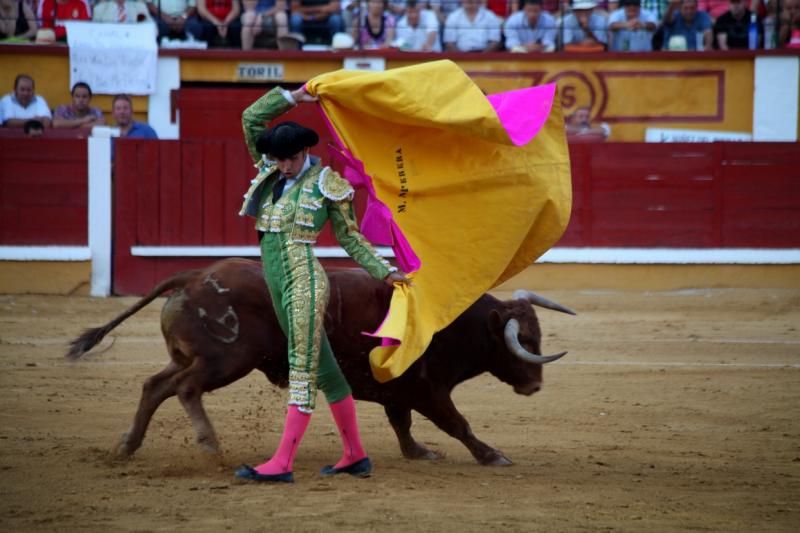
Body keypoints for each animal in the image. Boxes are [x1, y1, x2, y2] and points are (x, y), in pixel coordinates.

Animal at [65, 260, 572, 464]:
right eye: (525, 339)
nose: (535, 386)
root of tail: (195, 275)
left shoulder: (400, 391)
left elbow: (402, 424)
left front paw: (418, 452)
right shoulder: (429, 391)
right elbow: (458, 424)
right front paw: (492, 455)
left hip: (193, 357)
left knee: (156, 385)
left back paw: (126, 446)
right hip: (227, 361)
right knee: (186, 388)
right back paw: (208, 444)